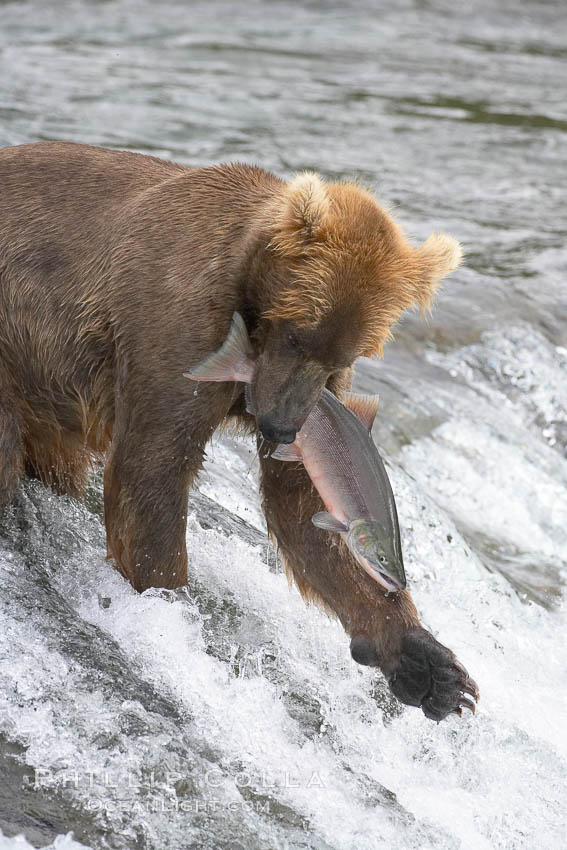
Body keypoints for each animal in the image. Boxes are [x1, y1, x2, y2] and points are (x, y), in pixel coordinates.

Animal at [0, 142, 480, 720]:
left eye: (344, 355)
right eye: (298, 334)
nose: (279, 426)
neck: (251, 299)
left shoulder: (320, 403)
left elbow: (303, 503)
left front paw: (432, 668)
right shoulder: (178, 321)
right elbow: (152, 468)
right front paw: (169, 608)